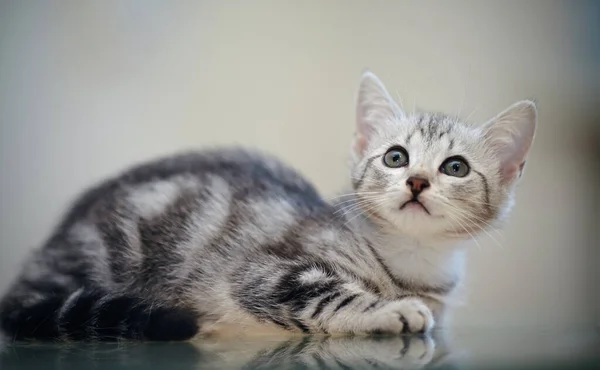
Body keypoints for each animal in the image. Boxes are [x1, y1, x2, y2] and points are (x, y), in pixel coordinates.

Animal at [0, 70, 536, 342]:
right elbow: (329, 295)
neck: (408, 264)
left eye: (455, 167)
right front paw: (391, 310)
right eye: (395, 157)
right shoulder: (261, 271)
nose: (418, 182)